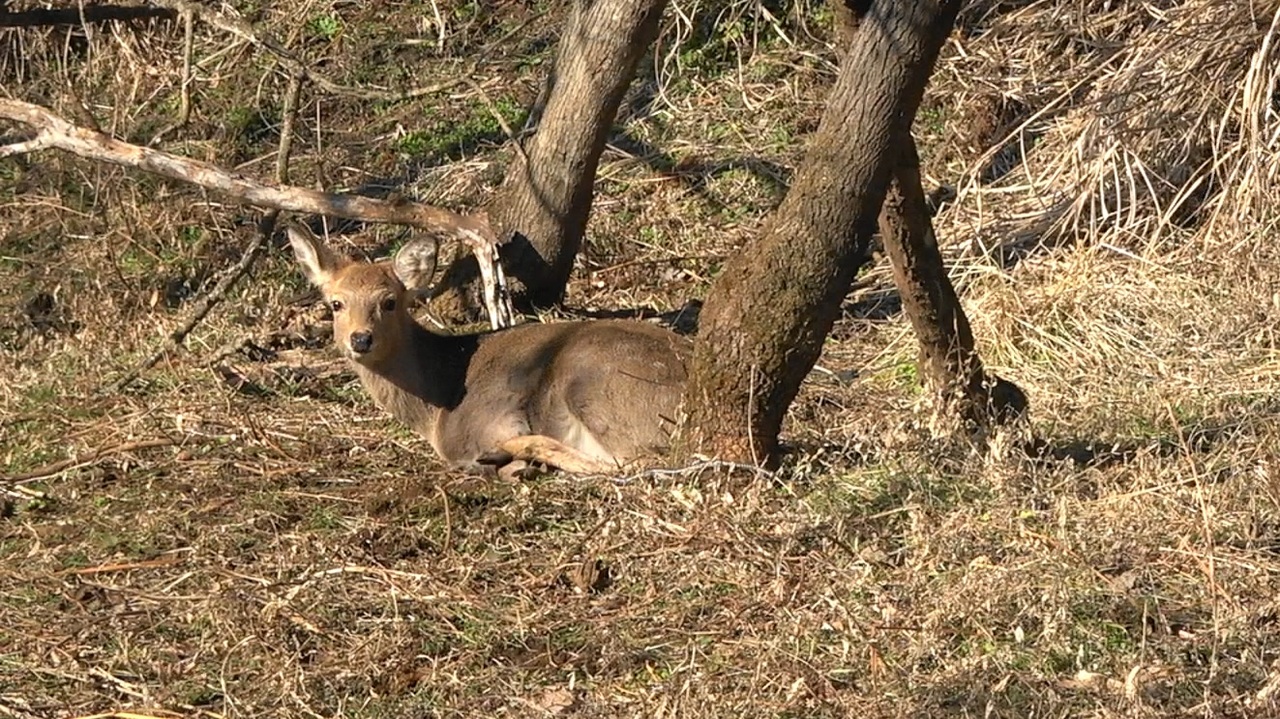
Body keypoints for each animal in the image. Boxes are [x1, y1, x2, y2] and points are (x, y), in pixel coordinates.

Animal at [286, 218, 696, 475]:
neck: (435, 404)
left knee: (637, 460)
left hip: (591, 379)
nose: (360, 338)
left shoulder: (493, 418)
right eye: (335, 304)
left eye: (389, 302)